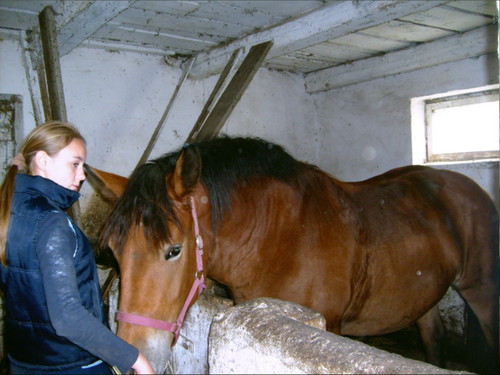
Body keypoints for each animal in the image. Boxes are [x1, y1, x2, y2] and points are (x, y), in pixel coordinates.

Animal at [88, 136, 498, 374]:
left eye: (173, 250)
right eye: (114, 253)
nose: (131, 358)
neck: (282, 239)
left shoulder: (325, 329)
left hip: (481, 292)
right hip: (422, 298)